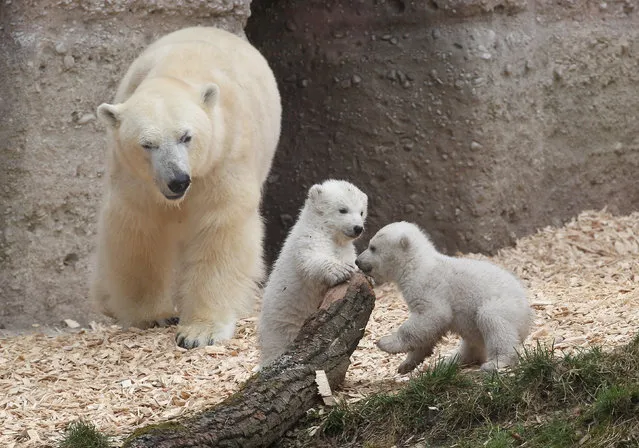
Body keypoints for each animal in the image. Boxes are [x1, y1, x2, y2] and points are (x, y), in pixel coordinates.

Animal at [91, 27, 282, 350]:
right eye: (147, 144)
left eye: (186, 137)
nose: (177, 180)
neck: (177, 71)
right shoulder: (136, 177)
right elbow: (138, 228)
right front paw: (152, 315)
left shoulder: (223, 156)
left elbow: (220, 229)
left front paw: (199, 332)